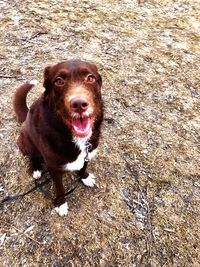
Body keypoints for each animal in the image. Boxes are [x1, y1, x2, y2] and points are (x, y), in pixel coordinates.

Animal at [12, 60, 103, 216]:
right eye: (59, 81)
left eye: (90, 78)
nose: (79, 104)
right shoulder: (53, 167)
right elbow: (59, 187)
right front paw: (61, 204)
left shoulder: (87, 154)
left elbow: (83, 167)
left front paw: (84, 177)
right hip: (26, 142)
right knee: (32, 156)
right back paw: (36, 169)